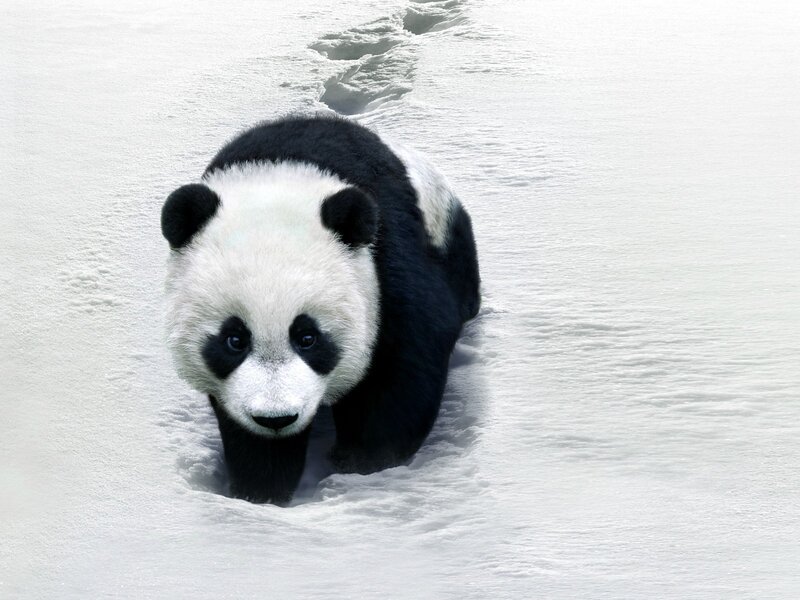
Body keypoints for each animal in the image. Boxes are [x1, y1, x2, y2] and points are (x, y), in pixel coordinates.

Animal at [161, 115, 480, 504]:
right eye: (234, 340)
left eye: (308, 337)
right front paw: (260, 487)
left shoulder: (385, 260)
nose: (276, 418)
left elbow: (403, 364)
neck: (279, 174)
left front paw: (363, 463)